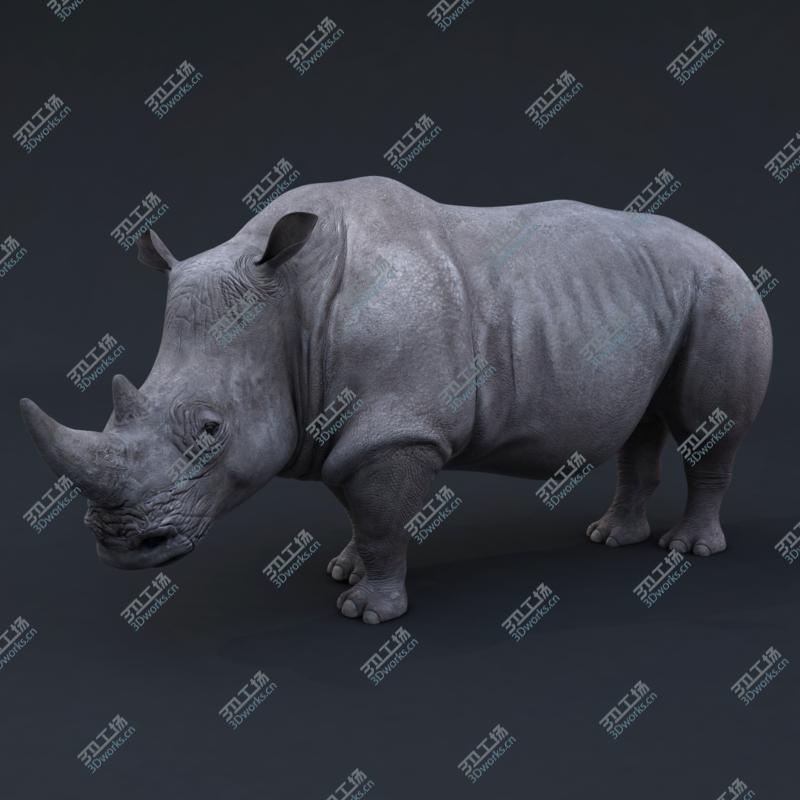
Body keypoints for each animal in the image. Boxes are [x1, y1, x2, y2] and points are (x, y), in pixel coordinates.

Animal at [20, 176, 772, 623]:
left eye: (210, 430)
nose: (123, 547)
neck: (292, 296)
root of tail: (727, 250)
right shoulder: (345, 424)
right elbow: (359, 512)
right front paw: (342, 571)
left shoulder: (395, 428)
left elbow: (380, 515)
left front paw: (368, 612)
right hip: (650, 297)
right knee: (641, 424)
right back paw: (612, 538)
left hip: (721, 293)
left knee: (708, 425)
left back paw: (686, 551)